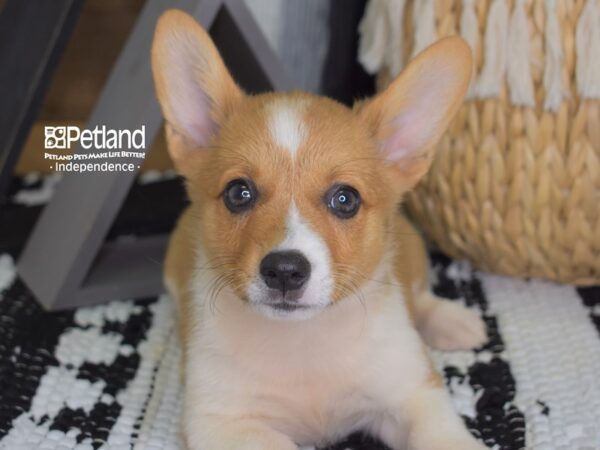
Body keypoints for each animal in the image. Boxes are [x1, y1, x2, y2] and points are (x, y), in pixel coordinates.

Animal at [150, 10, 488, 450]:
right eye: (239, 193)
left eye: (345, 199)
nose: (285, 271)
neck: (303, 341)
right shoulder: (222, 423)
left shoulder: (414, 393)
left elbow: (444, 437)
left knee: (421, 295)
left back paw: (455, 321)